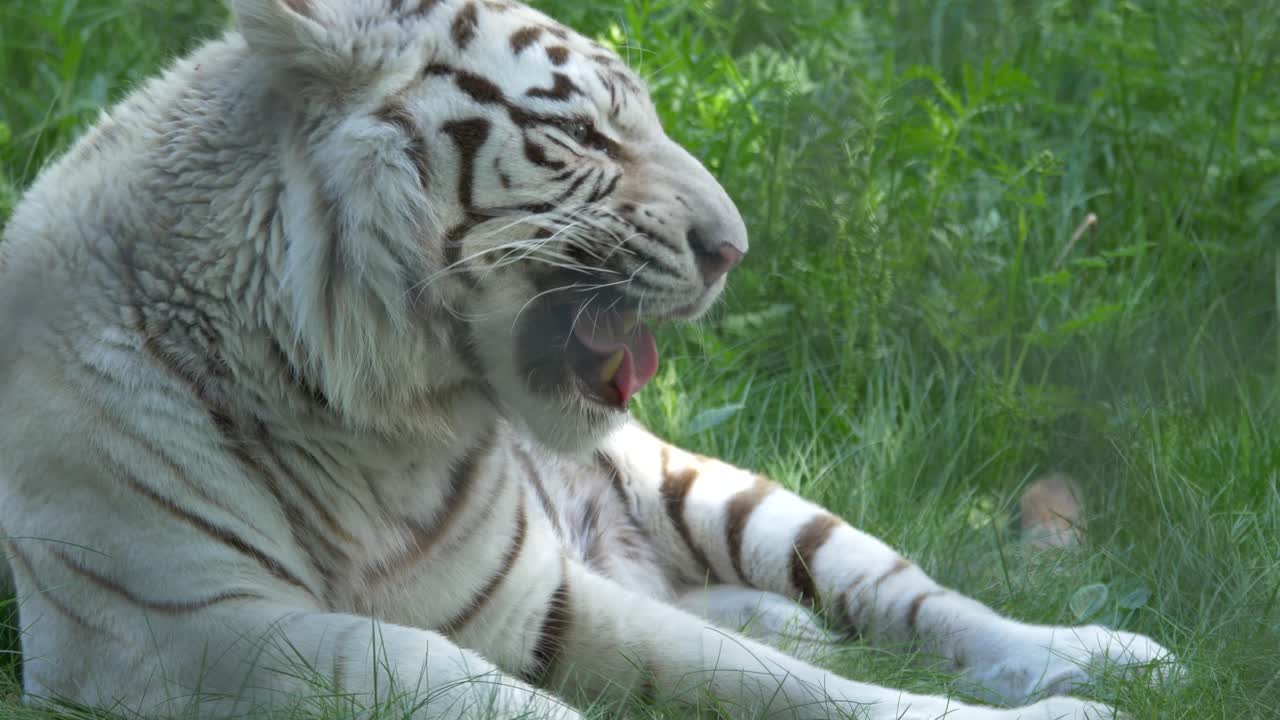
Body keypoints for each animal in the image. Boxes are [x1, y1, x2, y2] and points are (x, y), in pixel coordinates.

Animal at [0, 1, 1177, 719]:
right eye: (581, 135)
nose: (734, 248)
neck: (370, 422)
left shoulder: (533, 597)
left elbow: (760, 677)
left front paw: (1070, 703)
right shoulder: (182, 634)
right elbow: (438, 670)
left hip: (733, 494)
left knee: (922, 600)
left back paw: (1100, 652)